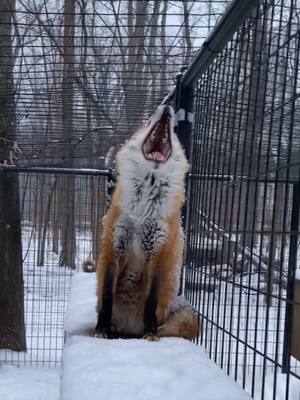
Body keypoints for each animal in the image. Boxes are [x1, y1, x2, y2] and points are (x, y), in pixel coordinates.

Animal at [95, 104, 199, 340]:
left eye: (174, 132)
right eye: (149, 119)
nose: (167, 107)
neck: (141, 213)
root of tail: (128, 330)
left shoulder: (159, 251)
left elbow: (151, 303)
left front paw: (150, 335)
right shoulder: (116, 244)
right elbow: (106, 299)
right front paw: (100, 330)